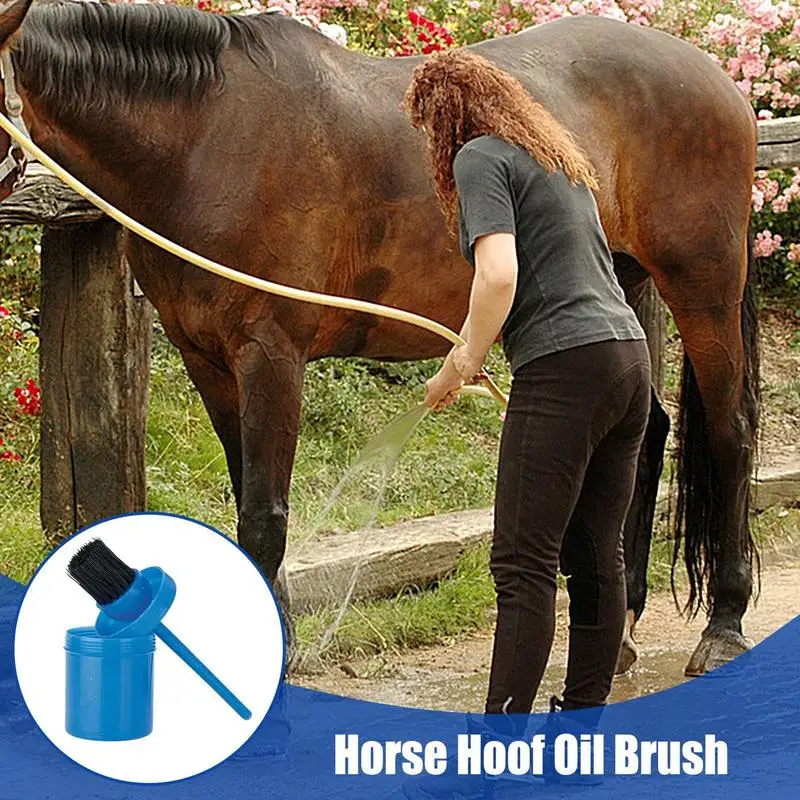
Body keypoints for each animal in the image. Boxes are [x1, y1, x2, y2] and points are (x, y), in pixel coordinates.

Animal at [0, 0, 758, 677]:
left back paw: (723, 624)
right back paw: (622, 622)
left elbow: (264, 517)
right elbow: (247, 497)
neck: (206, 140)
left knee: (731, 431)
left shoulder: (271, 354)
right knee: (647, 431)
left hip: (703, 287)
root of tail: (716, 76)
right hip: (618, 282)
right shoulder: (205, 359)